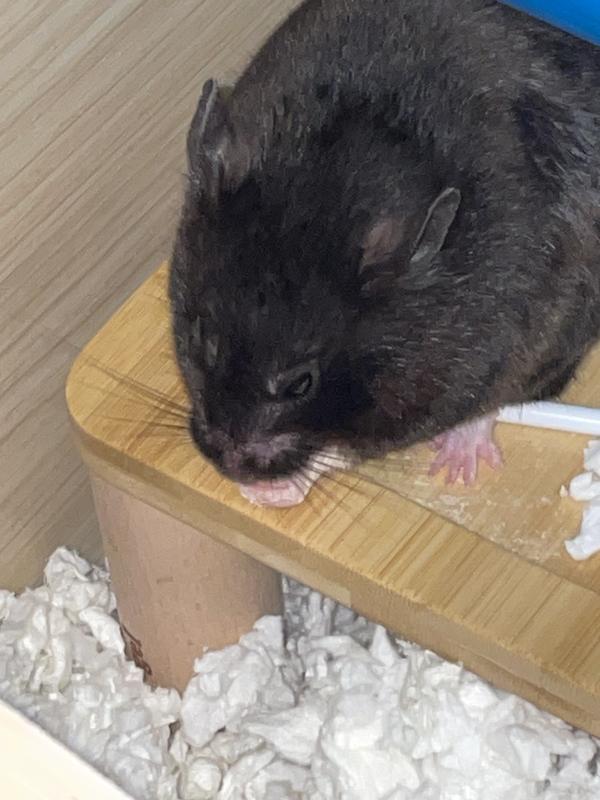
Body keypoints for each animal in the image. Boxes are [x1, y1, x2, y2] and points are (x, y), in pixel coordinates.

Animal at [170, 0, 600, 506]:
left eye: (302, 384)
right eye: (204, 340)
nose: (230, 469)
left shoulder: (449, 383)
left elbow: (348, 446)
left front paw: (271, 491)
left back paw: (458, 464)